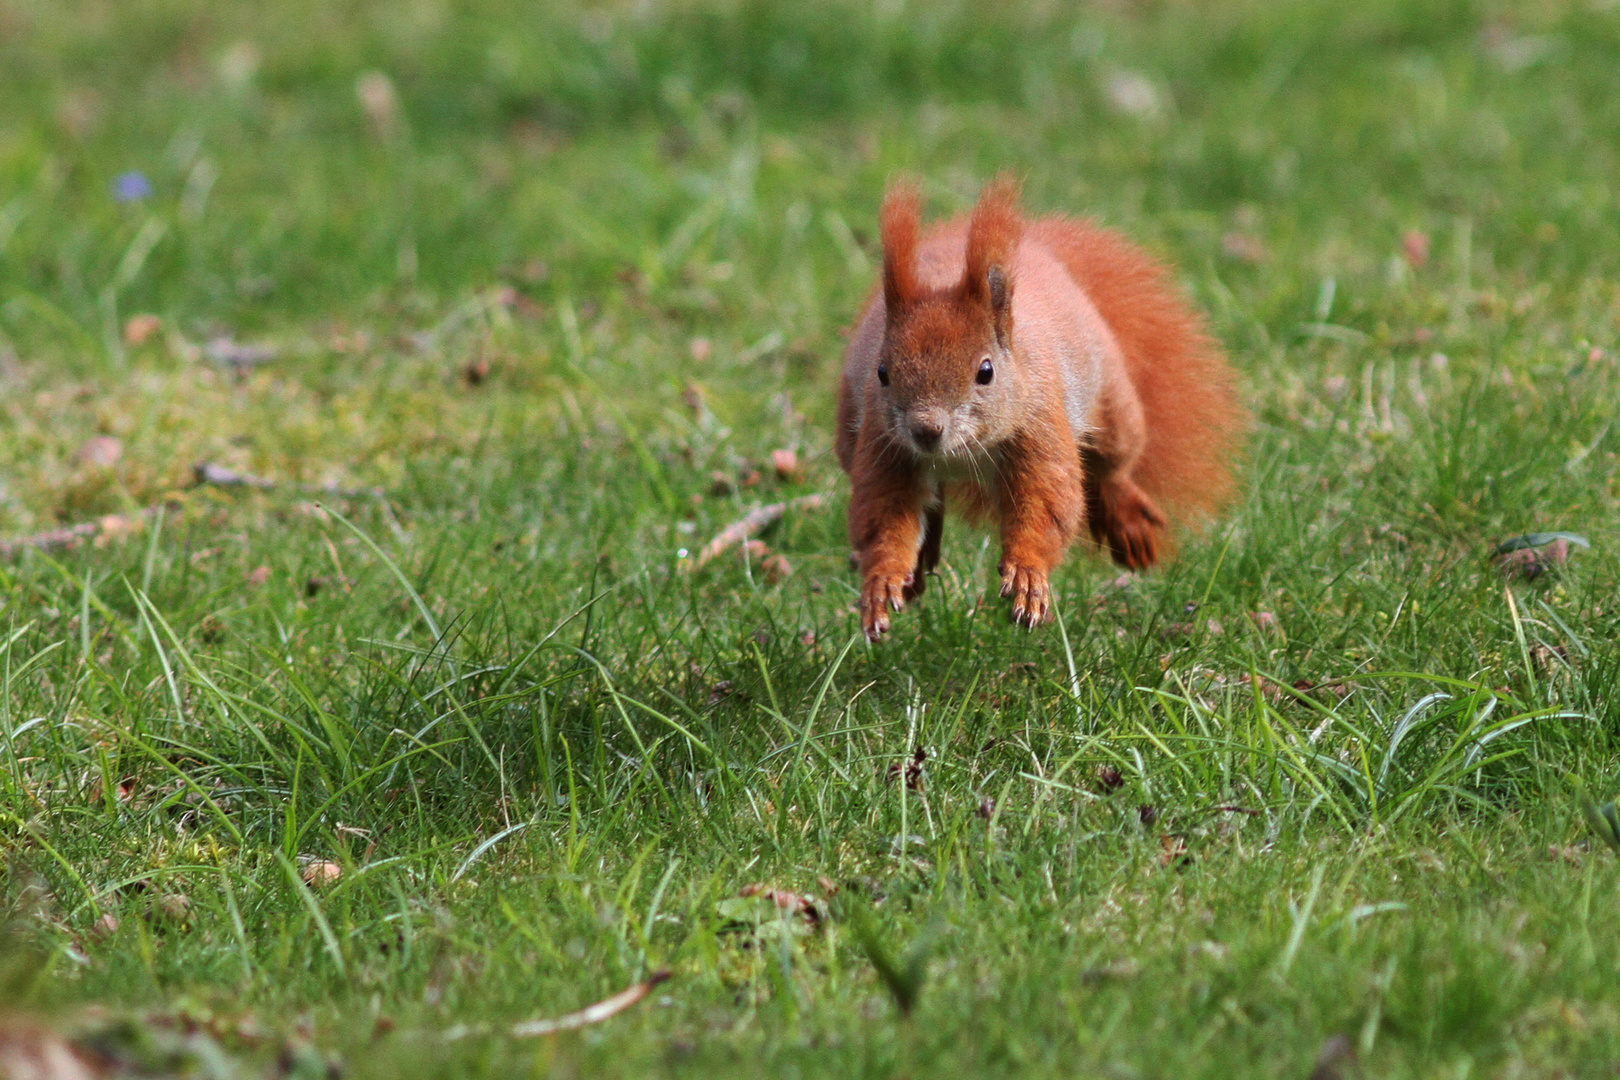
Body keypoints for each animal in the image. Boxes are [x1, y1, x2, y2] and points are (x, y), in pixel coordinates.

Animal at [835, 173, 1237, 637]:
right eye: (882, 372)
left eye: (985, 371)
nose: (926, 430)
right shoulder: (884, 444)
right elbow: (883, 514)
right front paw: (882, 580)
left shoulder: (1040, 424)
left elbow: (1046, 506)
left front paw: (1027, 576)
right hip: (848, 431)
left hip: (1113, 405)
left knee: (1114, 465)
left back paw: (1129, 522)